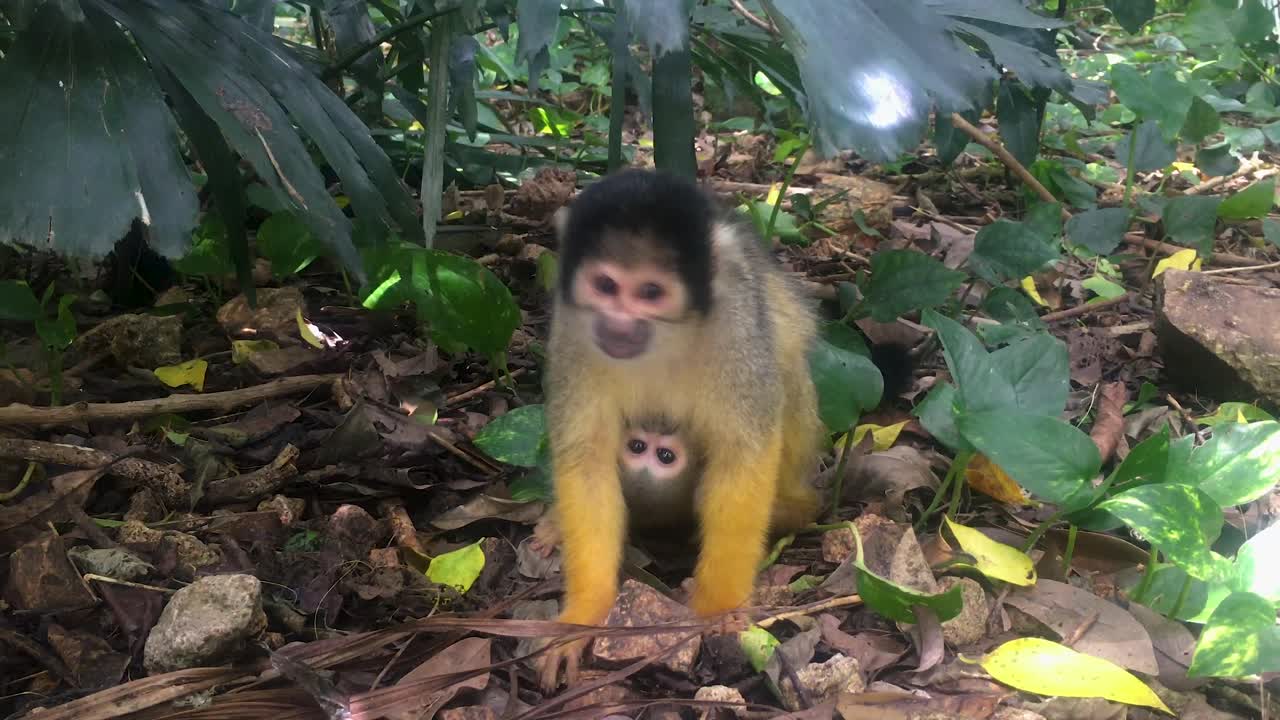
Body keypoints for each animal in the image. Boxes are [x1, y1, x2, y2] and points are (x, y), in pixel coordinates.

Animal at [538, 167, 824, 690]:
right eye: (605, 285)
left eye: (650, 293)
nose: (618, 323)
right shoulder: (572, 328)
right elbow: (585, 458)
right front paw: (583, 616)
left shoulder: (734, 325)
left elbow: (744, 451)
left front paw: (718, 610)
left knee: (785, 369)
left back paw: (793, 509)